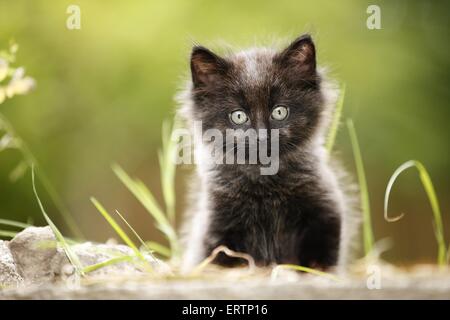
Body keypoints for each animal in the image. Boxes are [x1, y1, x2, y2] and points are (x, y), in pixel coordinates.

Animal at [178, 35, 354, 272]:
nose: (262, 136)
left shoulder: (326, 214)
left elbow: (321, 257)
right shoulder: (215, 229)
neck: (265, 185)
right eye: (239, 116)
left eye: (279, 112)